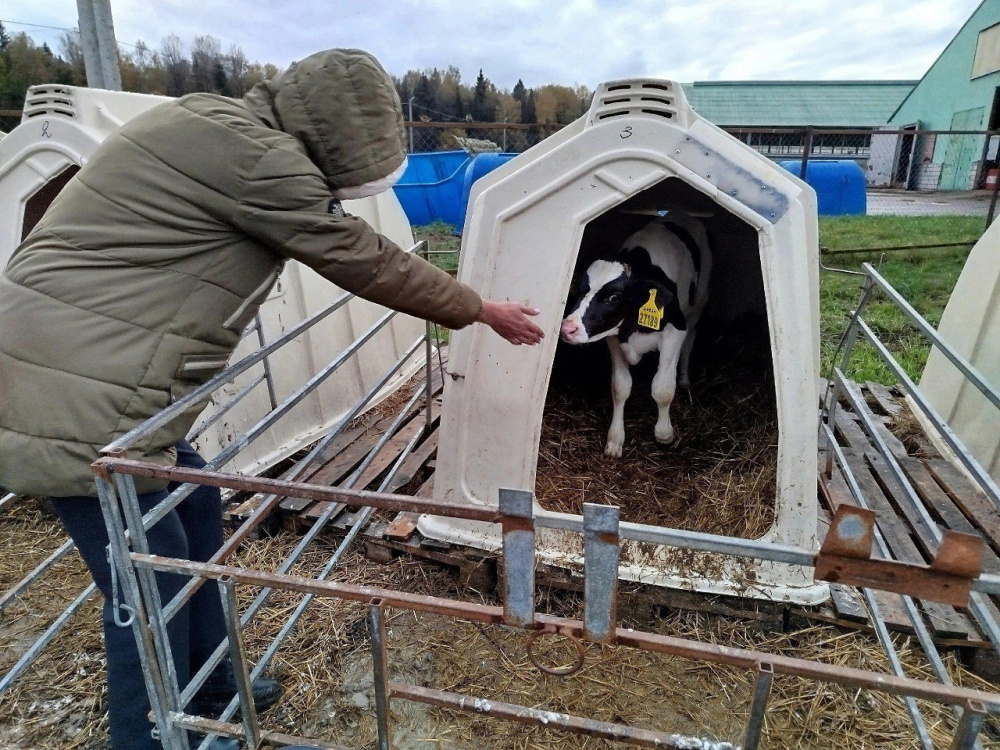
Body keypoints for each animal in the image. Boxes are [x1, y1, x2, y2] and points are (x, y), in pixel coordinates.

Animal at [564, 214, 712, 456]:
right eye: (579, 288)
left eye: (614, 297)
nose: (568, 328)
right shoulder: (615, 337)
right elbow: (620, 387)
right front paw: (615, 440)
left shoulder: (675, 330)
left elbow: (662, 388)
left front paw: (664, 434)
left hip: (698, 301)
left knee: (691, 339)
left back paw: (684, 381)